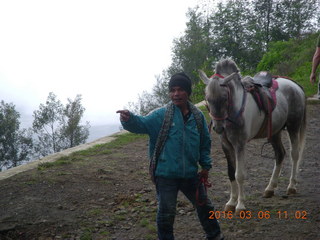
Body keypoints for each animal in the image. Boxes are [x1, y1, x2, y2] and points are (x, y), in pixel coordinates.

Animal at [199, 59, 306, 214]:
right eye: (207, 98)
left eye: (224, 98)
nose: (218, 128)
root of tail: (295, 85)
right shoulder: (226, 145)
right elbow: (231, 173)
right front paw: (231, 202)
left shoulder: (239, 144)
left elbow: (239, 175)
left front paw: (240, 205)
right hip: (275, 132)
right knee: (280, 154)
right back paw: (270, 188)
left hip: (293, 127)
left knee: (294, 155)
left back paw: (291, 186)